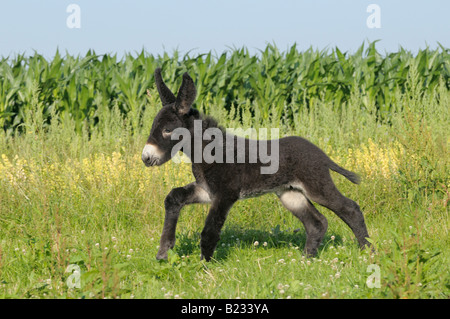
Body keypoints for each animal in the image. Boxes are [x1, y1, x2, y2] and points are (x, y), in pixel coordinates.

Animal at [142, 69, 370, 262]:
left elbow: (210, 230)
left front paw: (205, 267)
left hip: (316, 186)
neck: (208, 151)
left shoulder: (225, 194)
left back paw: (368, 251)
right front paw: (164, 252)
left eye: (168, 130)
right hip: (290, 193)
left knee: (350, 208)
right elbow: (174, 197)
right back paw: (307, 259)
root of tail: (322, 155)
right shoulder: (206, 191)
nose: (146, 157)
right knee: (317, 223)